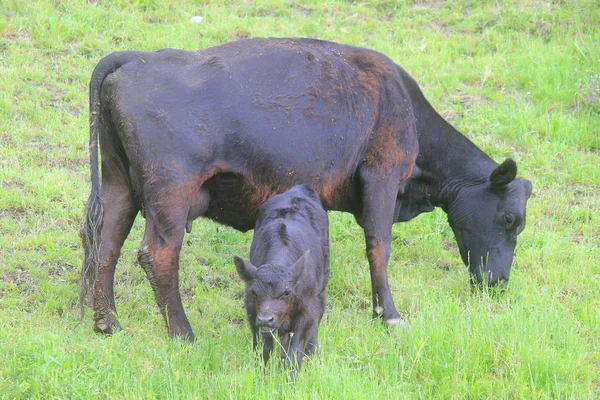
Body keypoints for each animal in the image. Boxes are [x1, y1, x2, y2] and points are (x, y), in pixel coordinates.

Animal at [77, 36, 532, 340]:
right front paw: (389, 315)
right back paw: (183, 333)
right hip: (169, 193)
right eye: (510, 219)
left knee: (105, 246)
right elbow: (379, 248)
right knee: (156, 255)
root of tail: (137, 57)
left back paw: (108, 323)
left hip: (120, 185)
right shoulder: (382, 177)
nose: (498, 283)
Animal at [234, 184, 330, 376]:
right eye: (254, 292)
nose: (266, 319)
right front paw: (261, 375)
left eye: (287, 292)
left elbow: (294, 352)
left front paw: (290, 378)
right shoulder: (253, 314)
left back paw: (312, 352)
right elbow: (262, 349)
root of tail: (299, 189)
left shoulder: (305, 314)